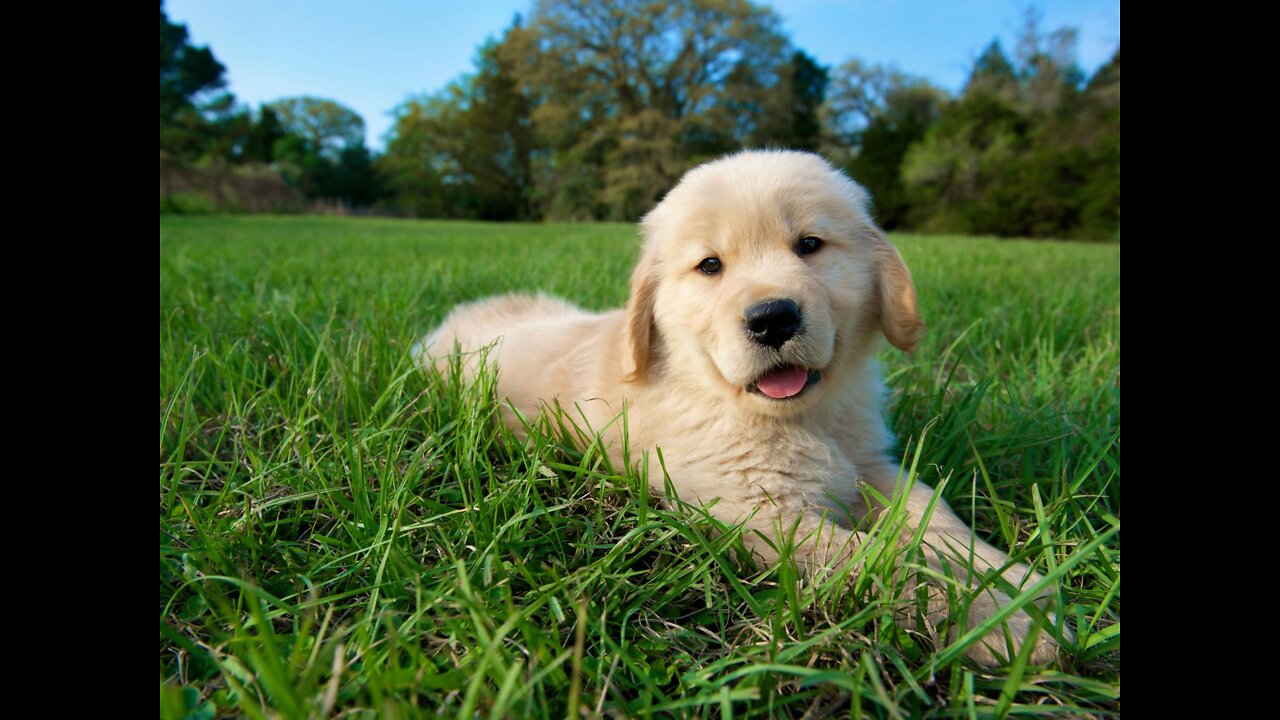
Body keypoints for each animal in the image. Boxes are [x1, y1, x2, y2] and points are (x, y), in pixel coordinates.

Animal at [417, 148, 1059, 666]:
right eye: (710, 266)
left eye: (809, 245)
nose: (772, 318)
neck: (796, 418)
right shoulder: (757, 513)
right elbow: (882, 560)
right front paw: (996, 619)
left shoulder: (868, 464)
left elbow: (934, 512)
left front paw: (1012, 581)